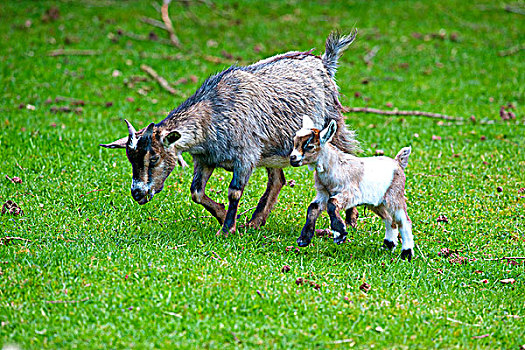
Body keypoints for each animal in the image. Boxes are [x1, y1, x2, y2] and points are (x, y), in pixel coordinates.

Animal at [288, 116, 416, 262]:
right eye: (294, 142)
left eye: (310, 146)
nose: (292, 158)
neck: (335, 166)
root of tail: (398, 162)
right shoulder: (323, 193)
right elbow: (313, 208)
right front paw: (303, 239)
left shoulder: (351, 193)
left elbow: (332, 204)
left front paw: (340, 234)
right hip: (377, 202)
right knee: (389, 219)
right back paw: (388, 245)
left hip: (394, 196)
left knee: (404, 221)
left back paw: (406, 253)